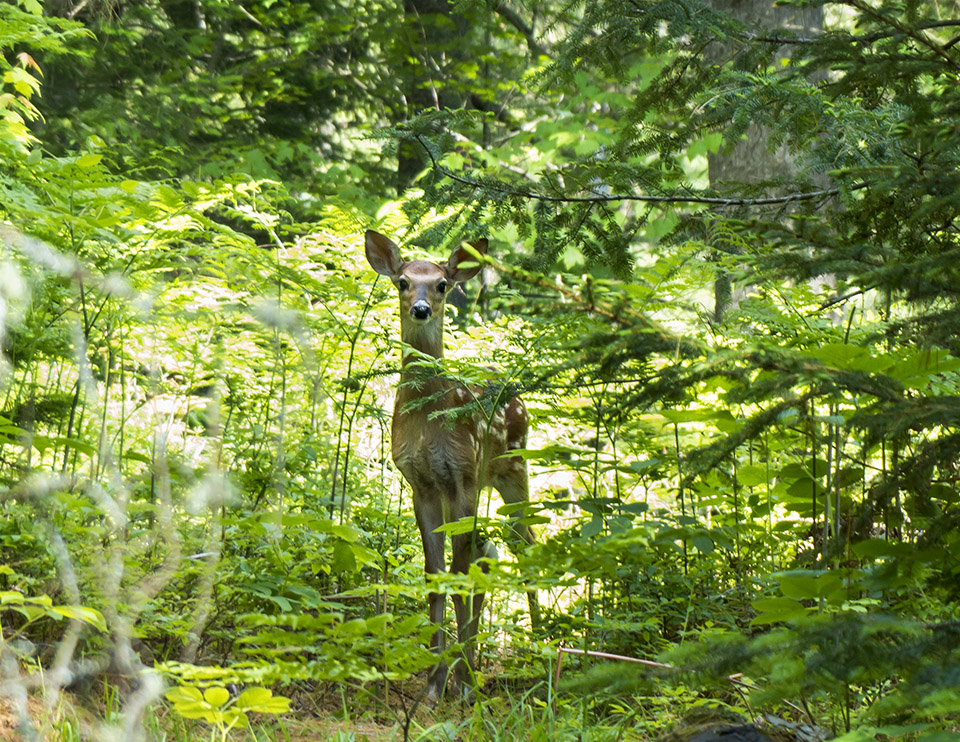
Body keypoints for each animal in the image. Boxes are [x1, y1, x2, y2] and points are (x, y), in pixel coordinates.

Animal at [364, 231, 536, 704]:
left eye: (442, 284)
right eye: (403, 281)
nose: (421, 308)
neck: (428, 418)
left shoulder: (462, 475)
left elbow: (459, 573)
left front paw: (461, 685)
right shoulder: (421, 482)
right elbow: (435, 573)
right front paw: (434, 682)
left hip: (511, 467)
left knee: (525, 545)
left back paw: (540, 648)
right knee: (490, 551)